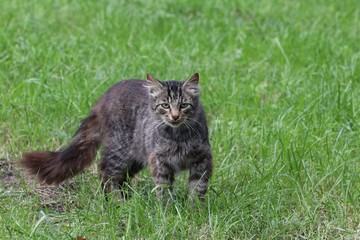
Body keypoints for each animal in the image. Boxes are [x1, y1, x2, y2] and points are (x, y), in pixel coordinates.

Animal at [21, 73, 214, 204]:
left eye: (184, 105)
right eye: (165, 105)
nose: (175, 116)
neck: (178, 136)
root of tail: (104, 98)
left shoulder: (202, 159)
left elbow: (198, 188)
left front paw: (195, 211)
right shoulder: (159, 161)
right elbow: (164, 189)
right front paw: (167, 211)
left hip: (135, 157)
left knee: (122, 178)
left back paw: (128, 201)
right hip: (120, 151)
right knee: (106, 172)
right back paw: (117, 203)